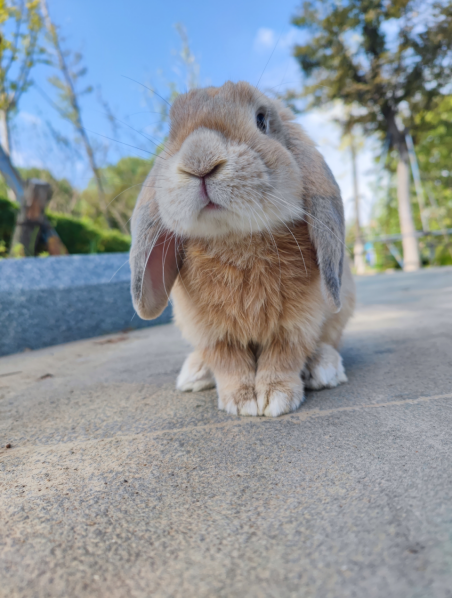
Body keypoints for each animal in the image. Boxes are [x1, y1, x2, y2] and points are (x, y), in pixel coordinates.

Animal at [130, 81, 356, 418]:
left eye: (261, 120)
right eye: (172, 132)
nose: (200, 162)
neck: (235, 237)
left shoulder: (299, 321)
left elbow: (285, 354)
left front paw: (275, 399)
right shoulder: (209, 331)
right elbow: (227, 362)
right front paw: (242, 402)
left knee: (329, 340)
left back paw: (323, 369)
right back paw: (194, 374)